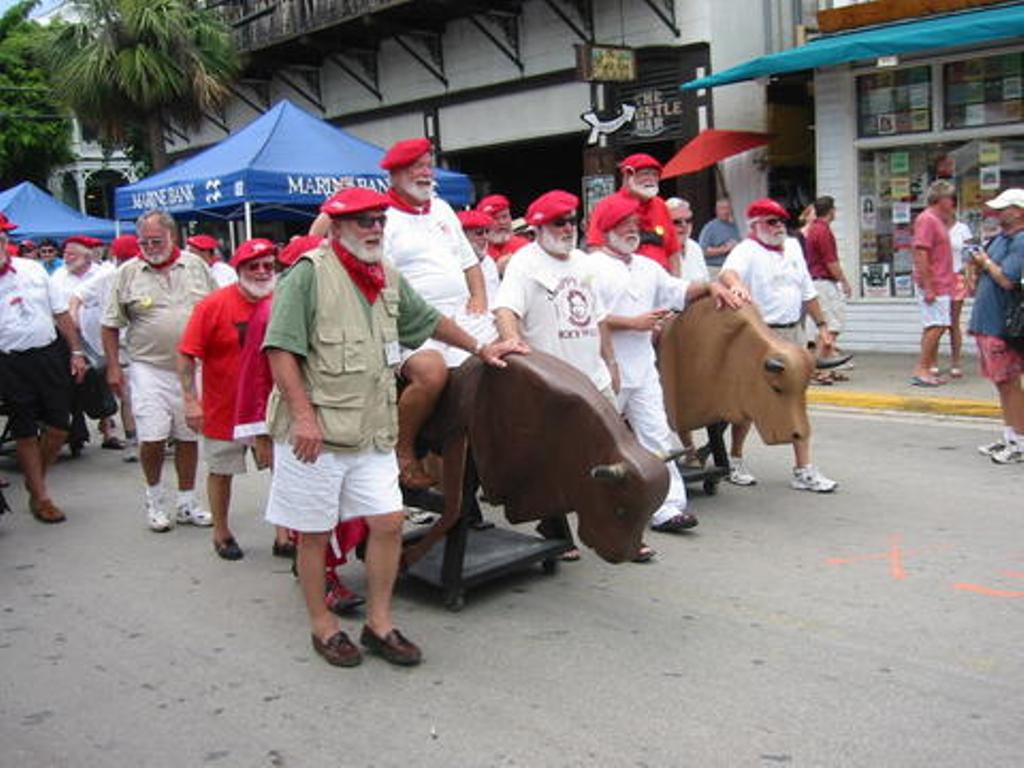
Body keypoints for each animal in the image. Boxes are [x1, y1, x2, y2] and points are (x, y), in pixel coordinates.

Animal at [403, 350, 671, 566]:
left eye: (649, 511)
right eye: (621, 510)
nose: (622, 554)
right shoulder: (464, 445)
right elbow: (452, 511)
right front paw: (408, 558)